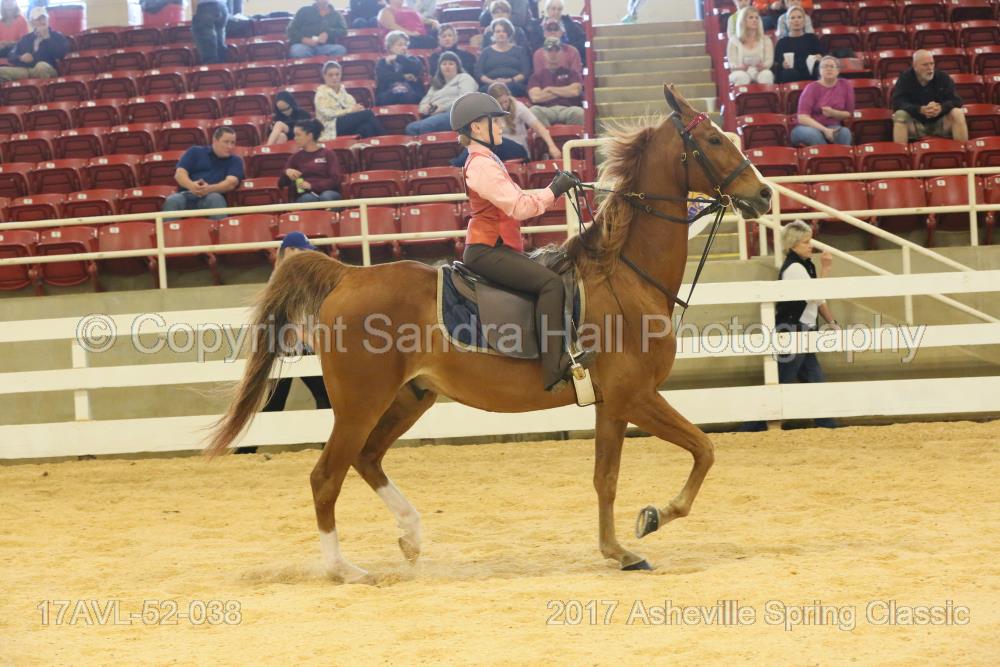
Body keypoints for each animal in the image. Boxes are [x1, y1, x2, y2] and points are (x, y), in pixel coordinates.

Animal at [206, 85, 772, 582]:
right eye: (715, 140)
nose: (764, 194)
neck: (624, 275)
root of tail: (348, 275)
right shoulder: (634, 396)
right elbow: (703, 449)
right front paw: (654, 517)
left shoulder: (612, 404)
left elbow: (606, 479)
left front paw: (618, 550)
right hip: (359, 403)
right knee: (326, 476)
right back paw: (344, 569)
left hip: (410, 397)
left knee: (368, 459)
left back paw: (411, 537)